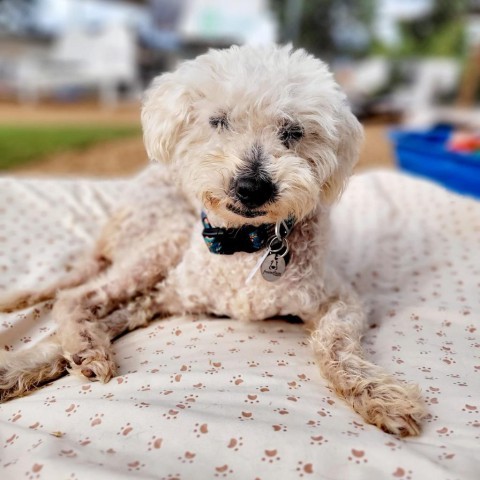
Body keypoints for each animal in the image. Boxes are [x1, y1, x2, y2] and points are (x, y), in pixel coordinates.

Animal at [0, 45, 428, 436]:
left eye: (293, 132)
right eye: (218, 121)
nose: (252, 187)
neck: (248, 243)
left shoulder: (341, 299)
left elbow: (336, 342)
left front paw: (375, 392)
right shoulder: (170, 291)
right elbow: (91, 319)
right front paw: (39, 360)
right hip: (163, 242)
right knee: (75, 297)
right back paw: (76, 348)